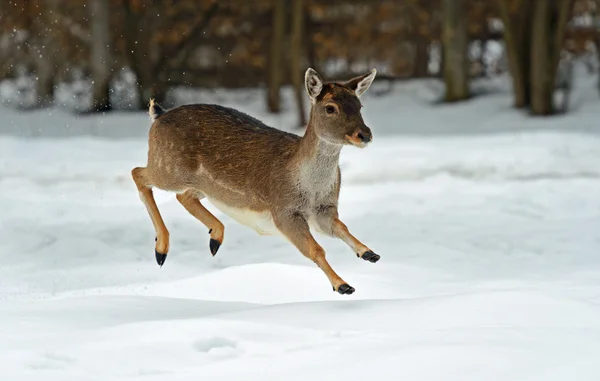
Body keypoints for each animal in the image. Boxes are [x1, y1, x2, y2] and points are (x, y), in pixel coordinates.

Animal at [134, 67, 382, 294]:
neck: (310, 189)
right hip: (168, 168)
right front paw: (343, 285)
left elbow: (343, 227)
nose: (365, 134)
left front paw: (369, 253)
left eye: (359, 106)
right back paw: (161, 250)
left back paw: (215, 238)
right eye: (330, 108)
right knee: (138, 173)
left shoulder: (325, 210)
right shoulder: (283, 210)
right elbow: (316, 250)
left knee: (183, 196)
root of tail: (158, 115)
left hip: (201, 184)